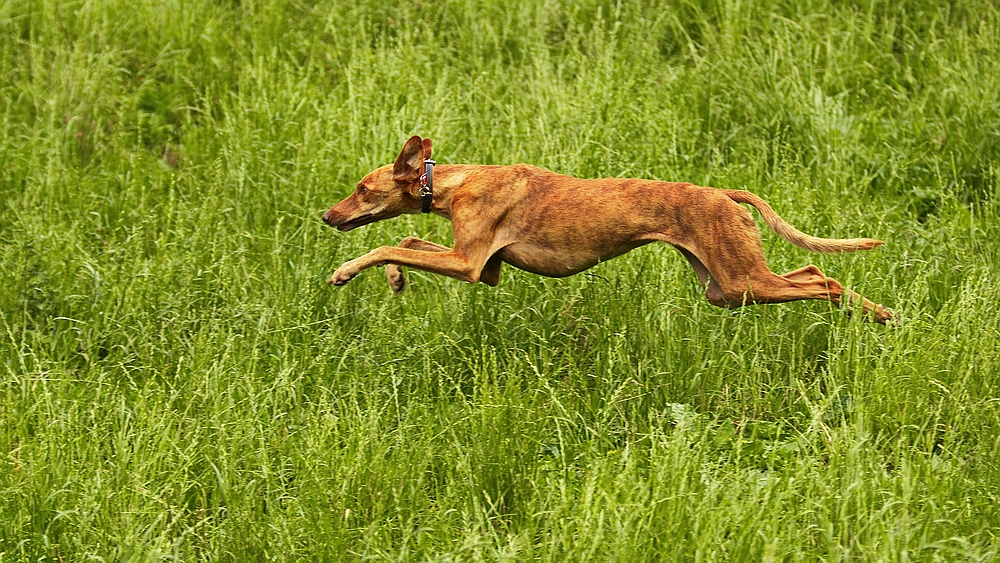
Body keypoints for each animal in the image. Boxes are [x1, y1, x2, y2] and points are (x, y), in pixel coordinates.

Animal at [324, 134, 896, 324]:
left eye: (361, 188)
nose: (326, 217)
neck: (455, 182)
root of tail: (722, 193)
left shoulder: (467, 264)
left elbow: (384, 243)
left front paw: (345, 271)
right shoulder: (485, 270)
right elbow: (403, 240)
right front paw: (396, 280)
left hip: (742, 280)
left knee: (826, 279)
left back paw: (878, 314)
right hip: (726, 288)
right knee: (814, 269)